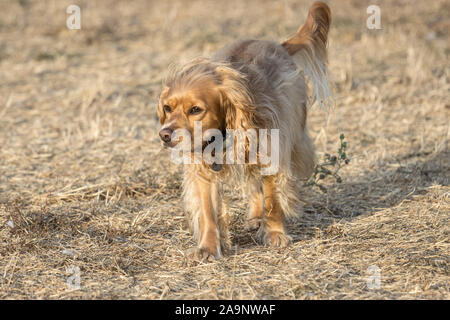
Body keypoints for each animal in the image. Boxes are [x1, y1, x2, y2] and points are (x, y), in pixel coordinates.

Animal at [157, 2, 330, 262]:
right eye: (167, 108)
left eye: (195, 110)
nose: (165, 135)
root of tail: (278, 45)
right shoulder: (202, 171)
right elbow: (208, 212)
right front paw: (208, 247)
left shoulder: (271, 154)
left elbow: (273, 200)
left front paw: (275, 234)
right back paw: (256, 216)